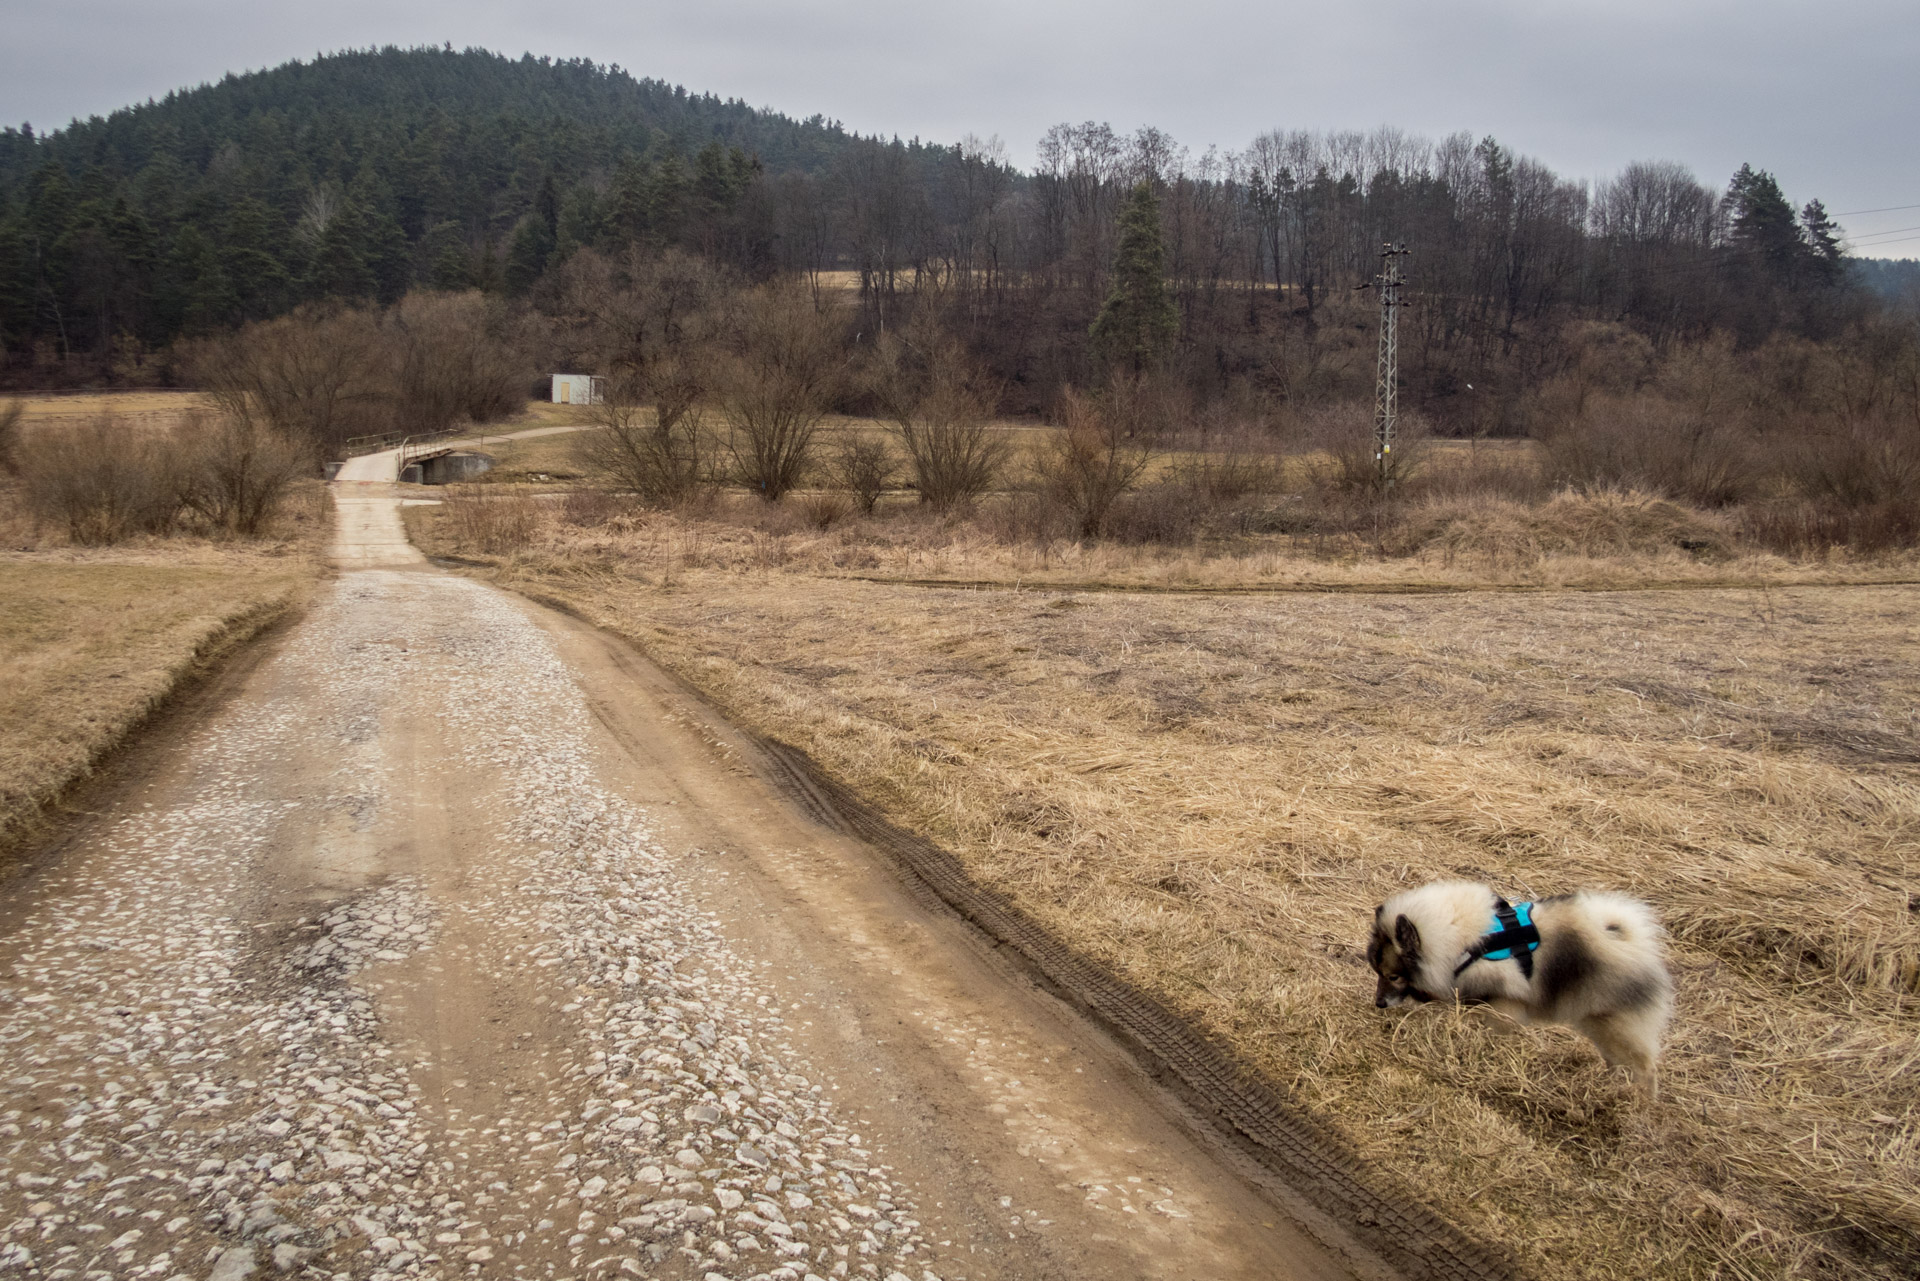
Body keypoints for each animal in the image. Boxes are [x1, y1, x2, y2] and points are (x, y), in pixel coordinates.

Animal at [1374, 887, 1674, 1098]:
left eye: (1393, 976)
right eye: (1378, 973)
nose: (1378, 1003)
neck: (1464, 942)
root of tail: (1636, 946)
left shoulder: (1504, 1009)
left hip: (1616, 1028)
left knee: (1646, 1070)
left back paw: (1640, 1107)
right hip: (1599, 1028)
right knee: (1619, 1064)